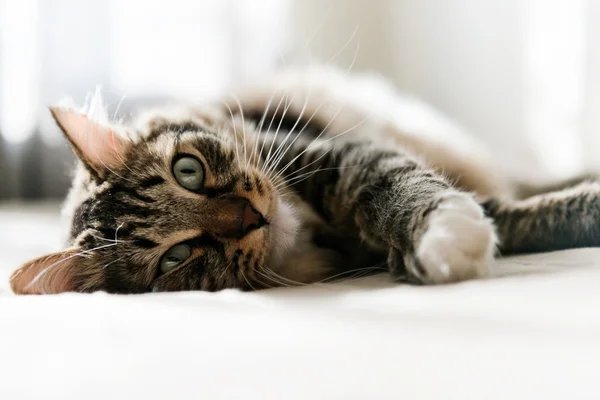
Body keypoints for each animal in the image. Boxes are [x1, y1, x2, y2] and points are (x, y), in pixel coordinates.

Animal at [8, 68, 600, 294]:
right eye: (174, 259)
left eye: (187, 171)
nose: (250, 217)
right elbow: (515, 218)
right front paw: (452, 244)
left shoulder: (333, 153)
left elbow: (405, 184)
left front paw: (445, 234)